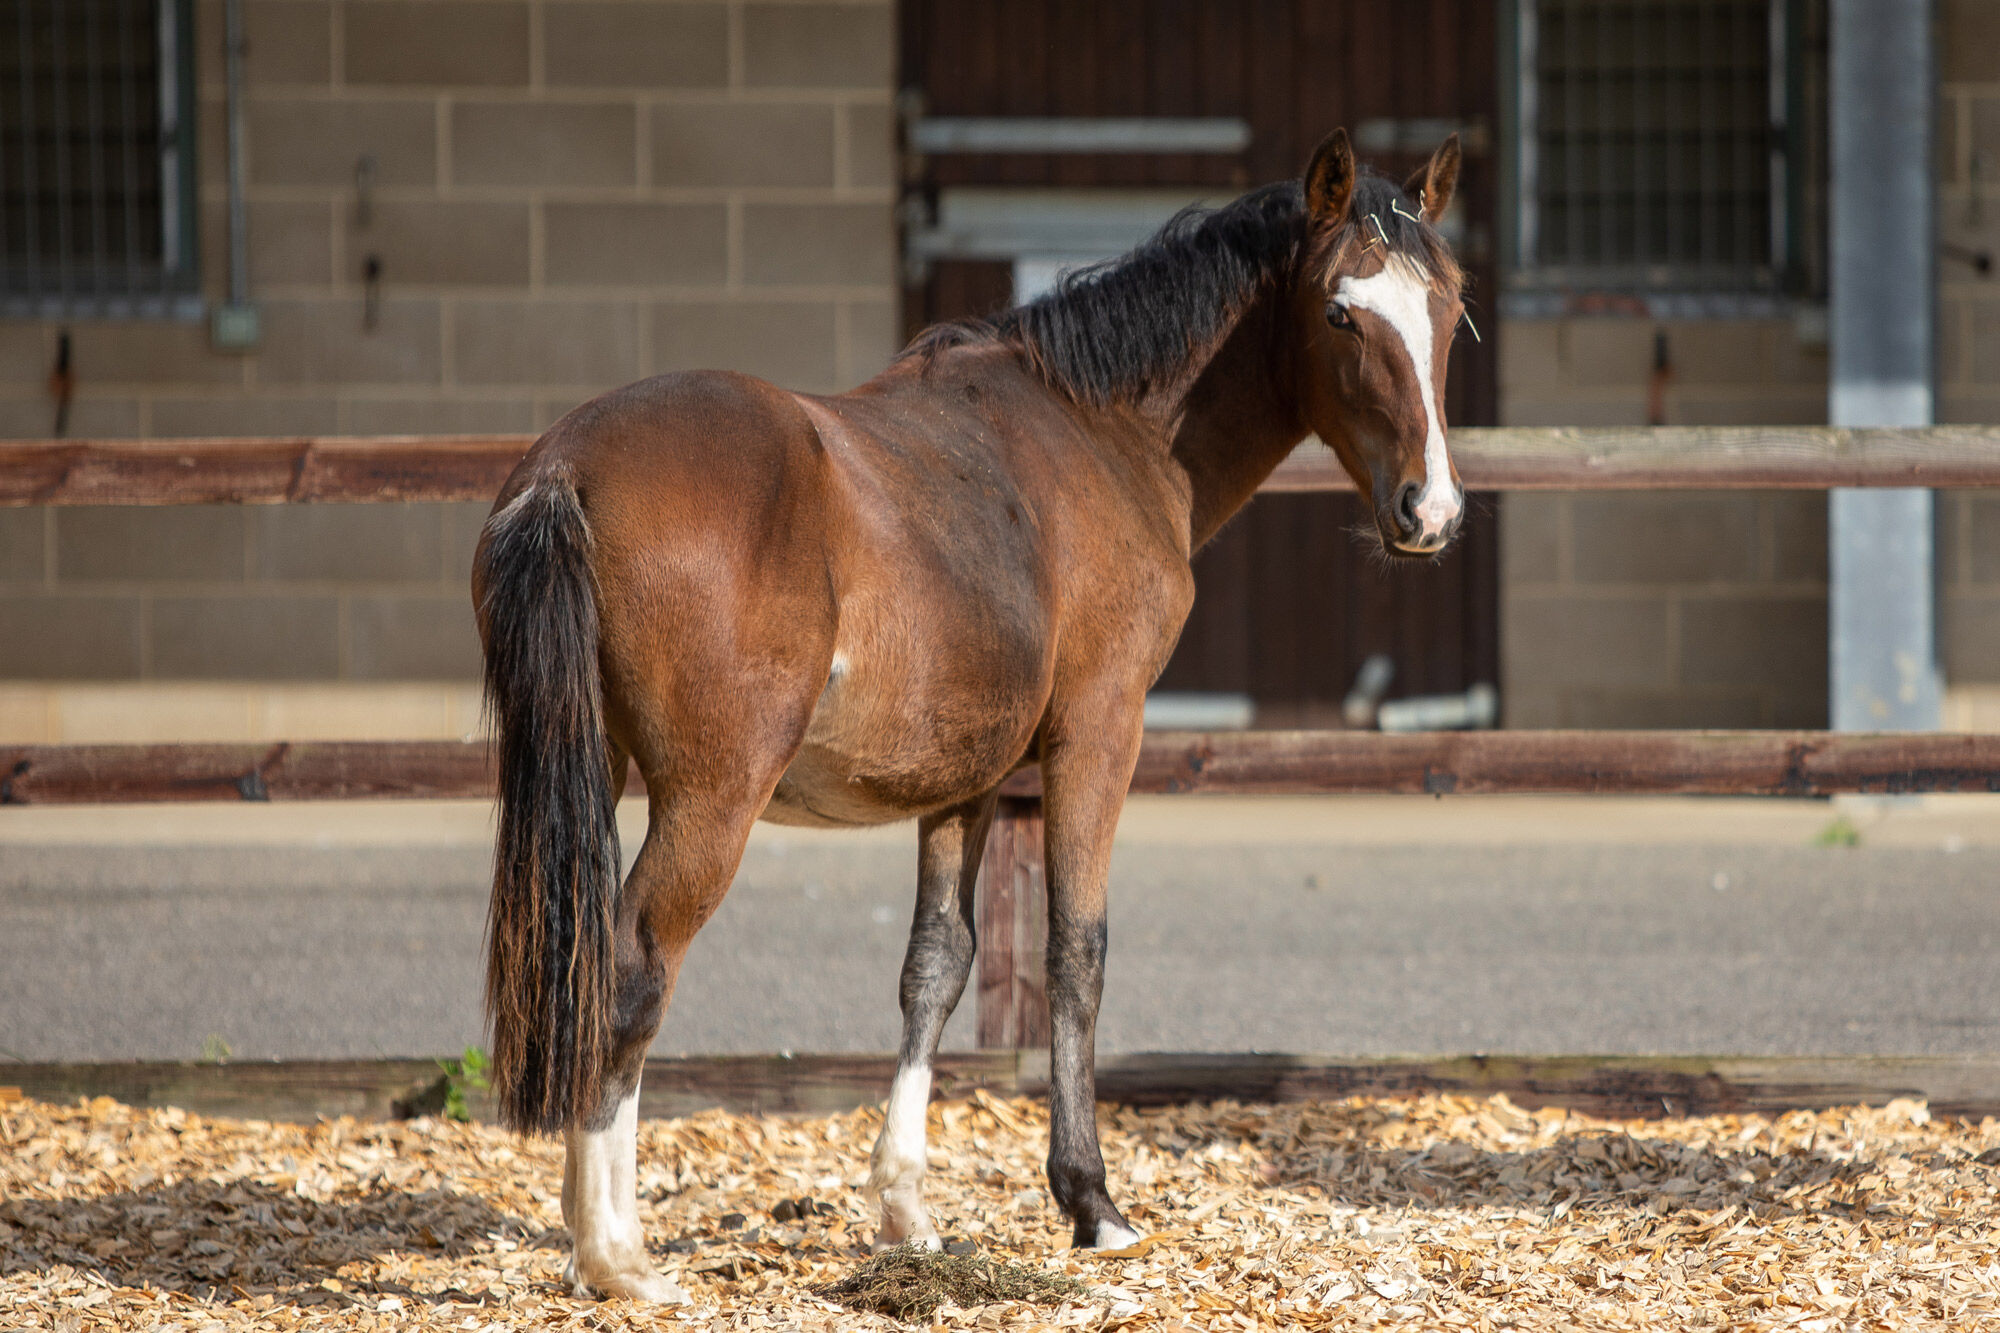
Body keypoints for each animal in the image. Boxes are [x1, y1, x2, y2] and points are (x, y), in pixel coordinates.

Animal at [472, 130, 1472, 1288]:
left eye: (1447, 308)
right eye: (1340, 314)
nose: (1431, 512)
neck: (1101, 431)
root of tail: (566, 470)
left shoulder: (966, 779)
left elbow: (936, 966)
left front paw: (905, 1209)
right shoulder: (1098, 732)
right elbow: (1075, 953)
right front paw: (1090, 1201)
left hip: (599, 763)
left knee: (590, 957)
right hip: (711, 797)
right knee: (636, 962)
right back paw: (615, 1252)